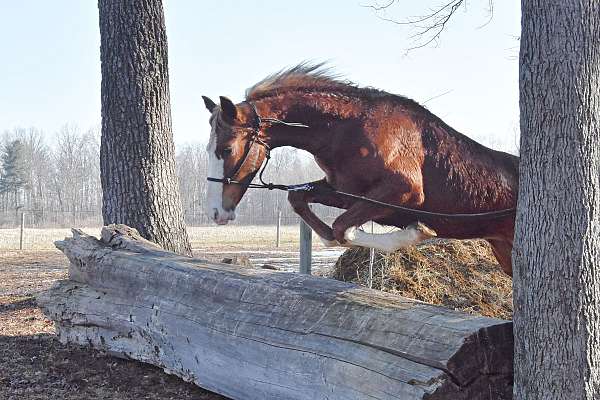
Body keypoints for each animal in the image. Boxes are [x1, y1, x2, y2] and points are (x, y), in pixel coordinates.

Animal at [203, 63, 520, 276]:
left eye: (226, 150)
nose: (216, 213)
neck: (345, 129)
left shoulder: (403, 192)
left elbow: (343, 228)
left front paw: (417, 232)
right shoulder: (346, 192)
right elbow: (304, 205)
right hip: (505, 252)